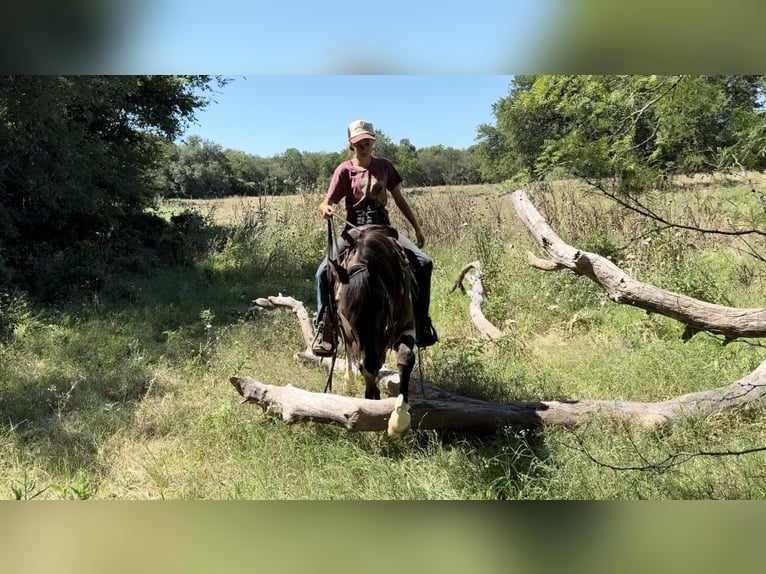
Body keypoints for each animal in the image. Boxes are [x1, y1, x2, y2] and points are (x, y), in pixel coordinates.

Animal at [328, 224, 414, 436]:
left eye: (380, 306)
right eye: (344, 313)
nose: (373, 361)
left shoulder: (406, 324)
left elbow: (406, 358)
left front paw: (399, 421)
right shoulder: (353, 336)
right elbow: (362, 366)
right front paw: (372, 396)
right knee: (350, 354)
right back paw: (350, 380)